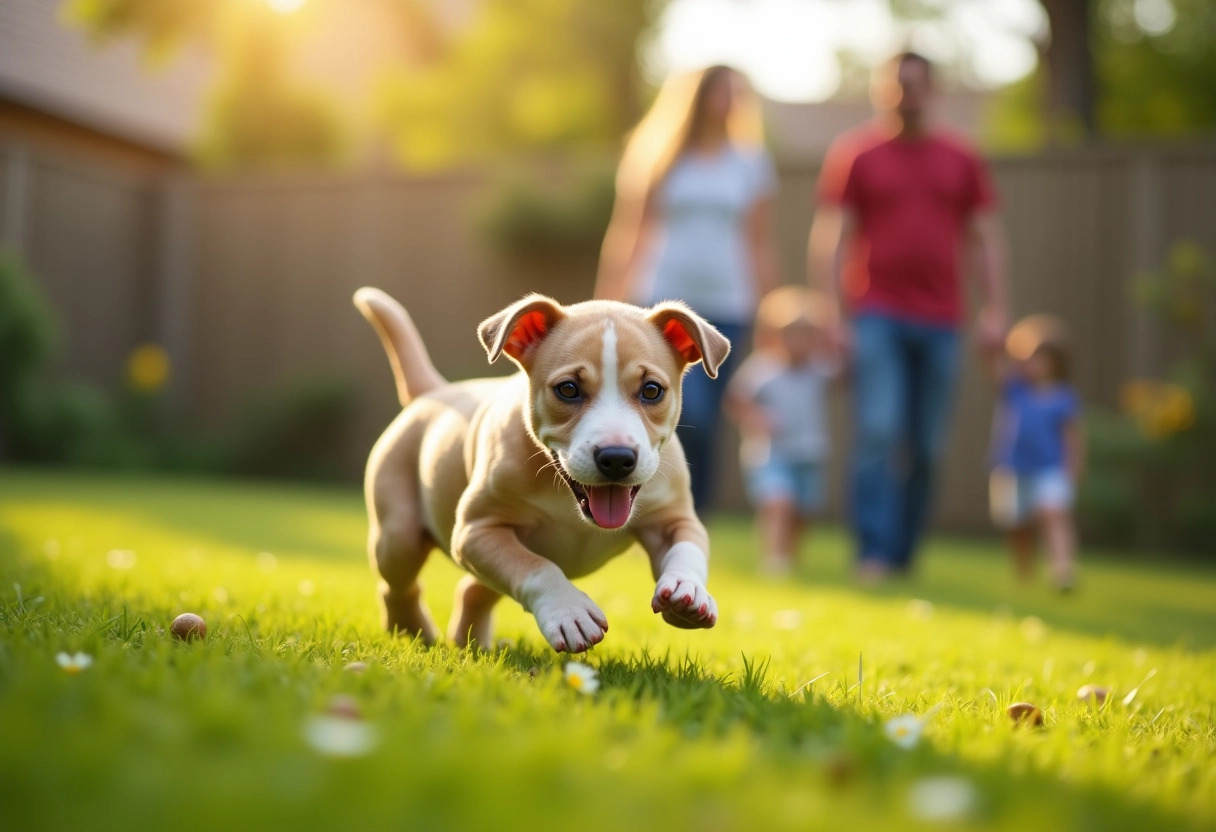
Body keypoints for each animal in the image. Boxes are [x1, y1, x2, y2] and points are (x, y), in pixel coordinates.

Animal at [355, 289, 729, 651]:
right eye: (568, 389)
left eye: (652, 390)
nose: (617, 458)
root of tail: (435, 392)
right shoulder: (477, 530)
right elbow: (536, 566)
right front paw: (568, 611)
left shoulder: (673, 519)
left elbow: (688, 548)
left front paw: (687, 590)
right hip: (398, 535)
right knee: (398, 585)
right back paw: (410, 629)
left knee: (473, 589)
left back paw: (470, 642)